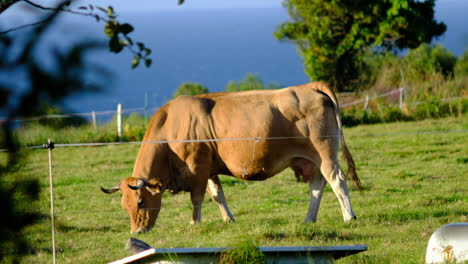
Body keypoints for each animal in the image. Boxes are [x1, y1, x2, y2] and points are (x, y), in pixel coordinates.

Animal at [101, 82, 362, 233]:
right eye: (124, 206)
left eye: (140, 202)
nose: (136, 232)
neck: (170, 131)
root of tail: (310, 86)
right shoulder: (209, 170)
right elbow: (218, 195)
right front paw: (228, 220)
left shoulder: (198, 168)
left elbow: (197, 199)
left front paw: (194, 223)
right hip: (310, 160)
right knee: (317, 187)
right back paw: (309, 219)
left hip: (325, 153)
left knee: (337, 180)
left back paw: (349, 217)